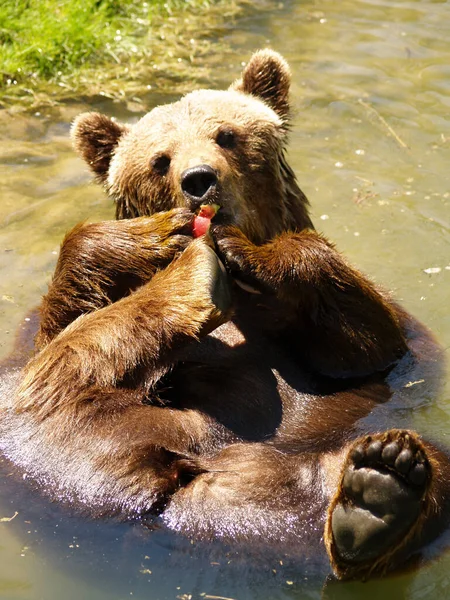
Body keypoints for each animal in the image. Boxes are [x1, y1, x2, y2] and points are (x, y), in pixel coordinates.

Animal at [1, 49, 448, 584]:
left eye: (227, 135)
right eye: (159, 160)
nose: (198, 180)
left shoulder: (389, 332)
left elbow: (366, 344)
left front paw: (252, 254)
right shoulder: (30, 329)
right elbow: (58, 314)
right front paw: (144, 239)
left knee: (426, 464)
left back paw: (380, 491)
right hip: (53, 457)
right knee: (50, 385)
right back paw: (189, 281)